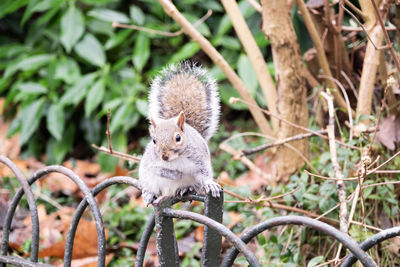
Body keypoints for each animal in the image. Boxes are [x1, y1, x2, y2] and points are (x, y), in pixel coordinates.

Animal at [139, 61, 222, 206]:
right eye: (154, 140)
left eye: (178, 138)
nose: (164, 156)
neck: (175, 159)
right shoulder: (151, 162)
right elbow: (156, 169)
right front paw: (174, 174)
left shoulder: (199, 159)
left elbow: (204, 173)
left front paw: (210, 184)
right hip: (147, 179)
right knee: (151, 187)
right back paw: (148, 194)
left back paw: (186, 188)